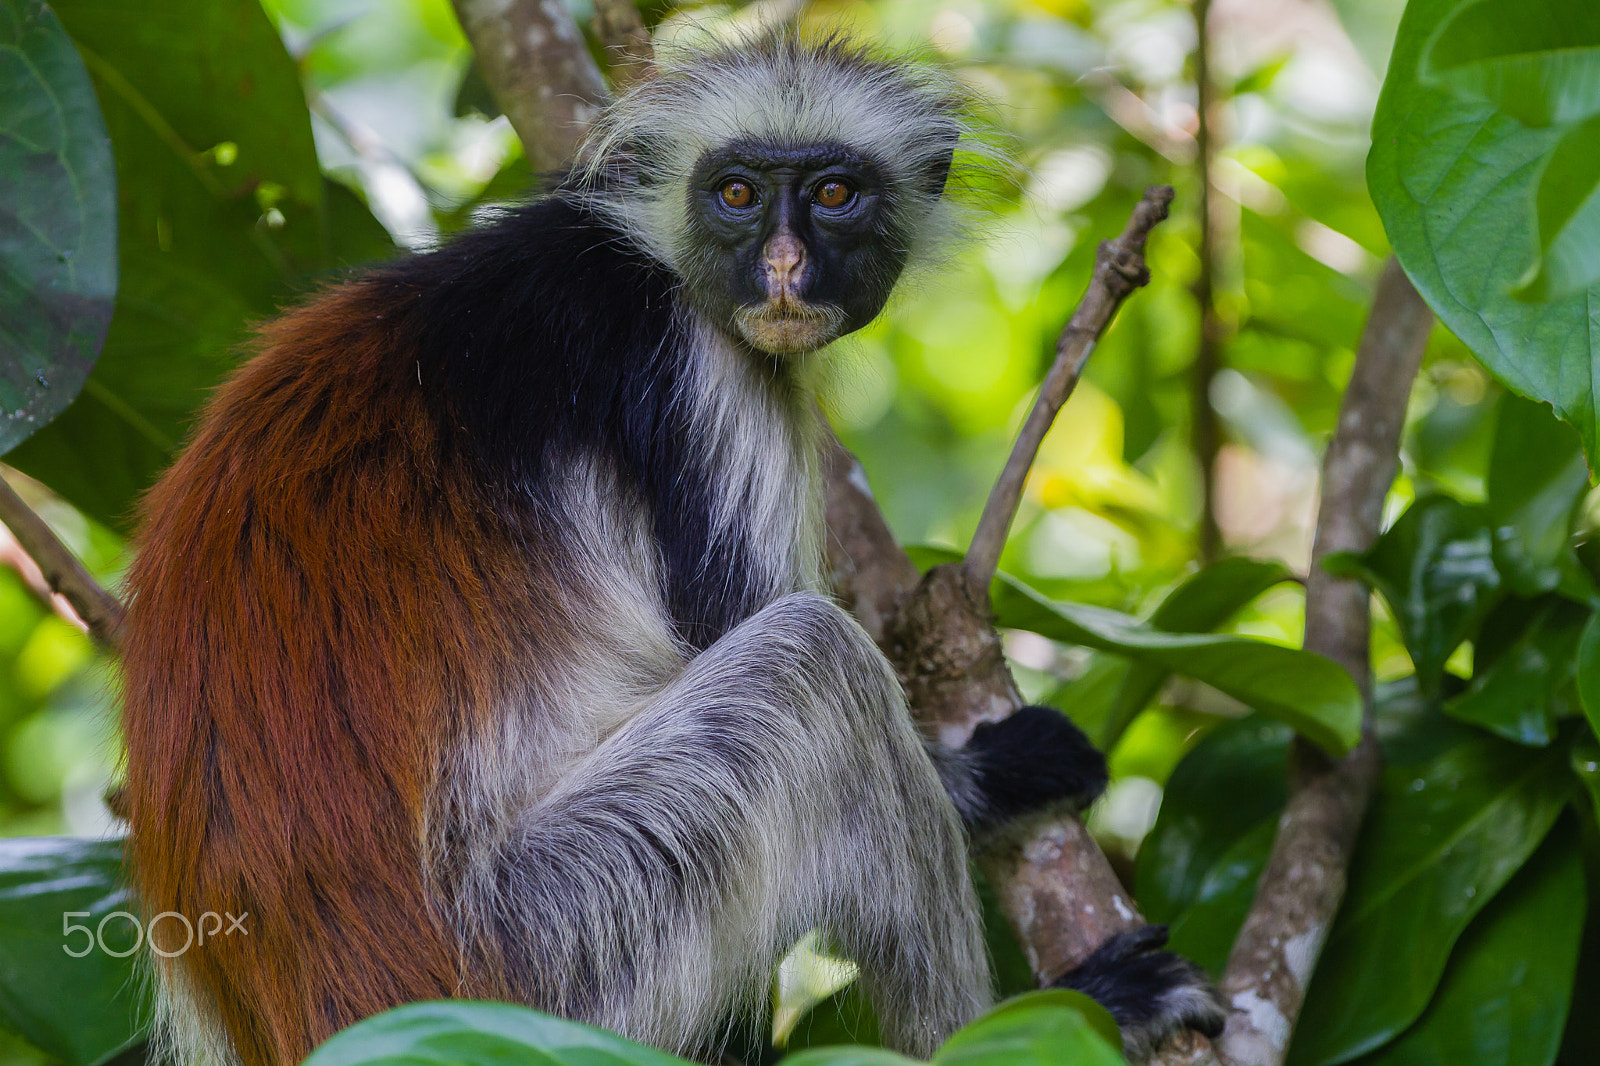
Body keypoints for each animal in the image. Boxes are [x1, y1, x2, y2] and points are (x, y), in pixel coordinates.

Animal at [121, 31, 1222, 1062]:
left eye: (834, 194)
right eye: (736, 193)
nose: (783, 268)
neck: (635, 255)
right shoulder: (700, 361)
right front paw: (994, 776)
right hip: (564, 940)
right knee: (813, 663)